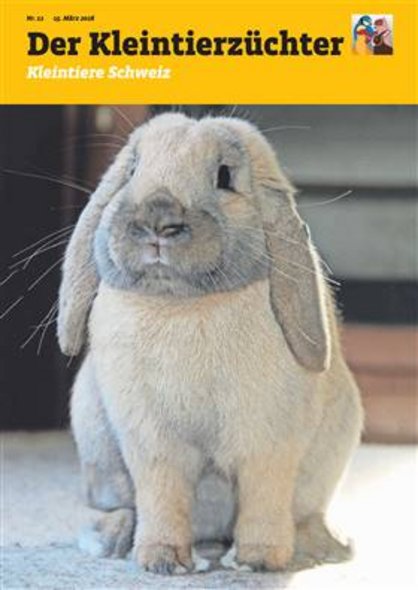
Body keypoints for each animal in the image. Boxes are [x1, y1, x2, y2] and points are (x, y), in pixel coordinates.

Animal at [58, 112, 363, 575]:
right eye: (132, 170)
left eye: (224, 176)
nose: (158, 220)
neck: (183, 306)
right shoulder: (152, 444)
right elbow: (162, 495)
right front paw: (162, 561)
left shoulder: (268, 440)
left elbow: (264, 494)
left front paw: (259, 560)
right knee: (121, 505)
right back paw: (113, 539)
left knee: (304, 511)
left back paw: (320, 547)